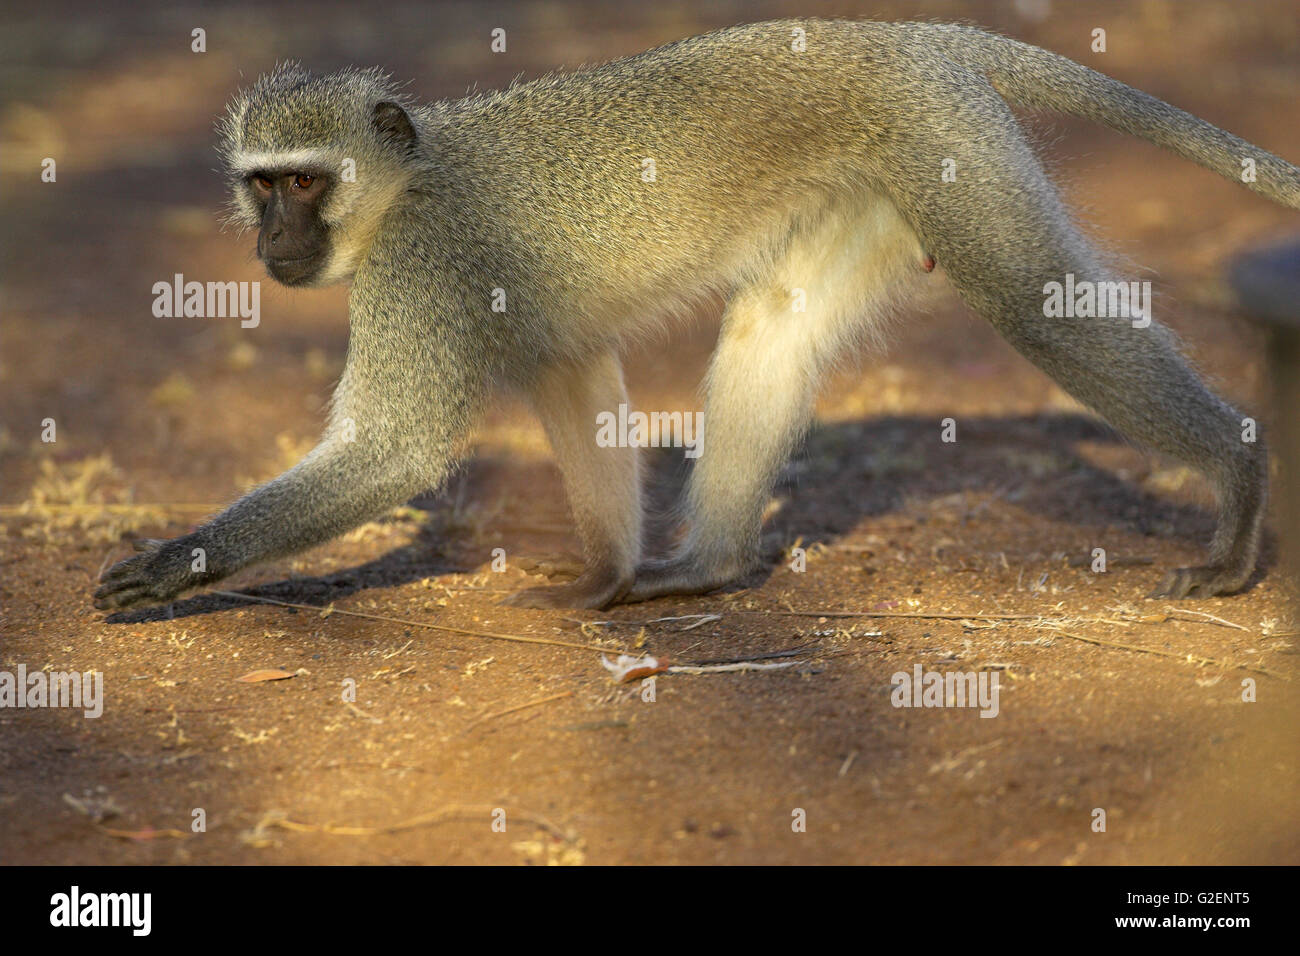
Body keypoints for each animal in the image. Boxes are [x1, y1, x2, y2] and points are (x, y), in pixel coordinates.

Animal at [95, 18, 1299, 614]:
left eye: (304, 184)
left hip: (941, 141)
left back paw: (1240, 475)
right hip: (874, 183)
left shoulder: (425, 269)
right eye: (260, 186)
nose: (272, 243)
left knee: (1040, 307)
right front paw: (604, 577)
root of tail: (896, 32)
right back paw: (708, 567)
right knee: (772, 324)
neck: (410, 181)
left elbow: (396, 450)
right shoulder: (540, 325)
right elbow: (580, 385)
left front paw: (180, 560)